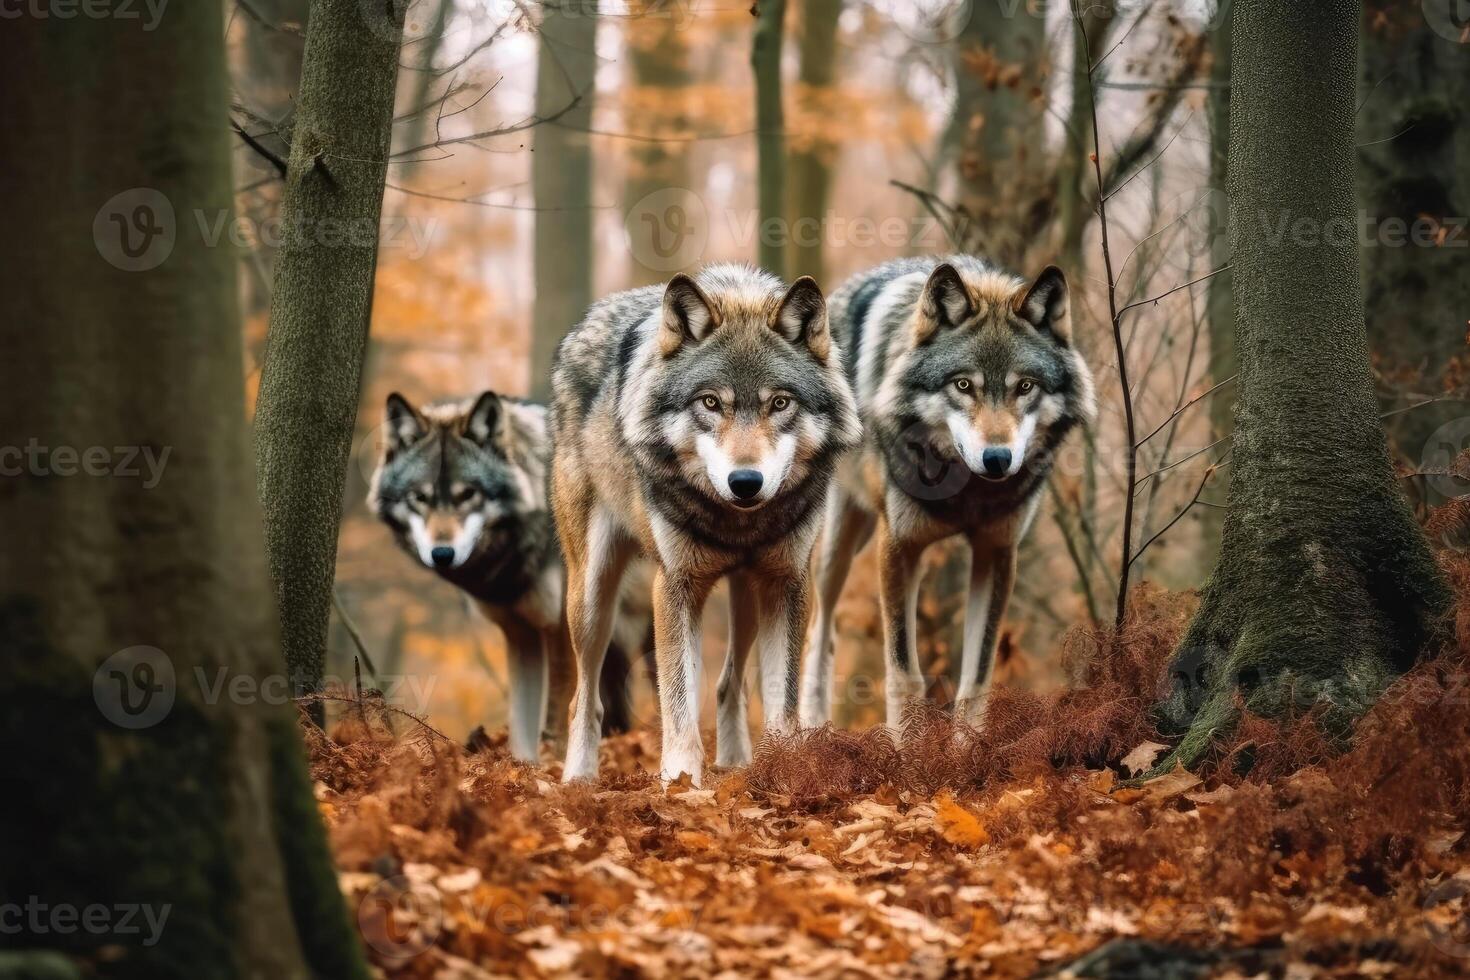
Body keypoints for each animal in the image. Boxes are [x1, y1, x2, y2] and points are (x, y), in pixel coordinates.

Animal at [367, 393, 649, 764]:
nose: (442, 553)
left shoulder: (561, 627)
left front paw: (553, 763)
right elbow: (521, 723)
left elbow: (558, 709)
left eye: (468, 494)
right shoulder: (519, 635)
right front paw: (525, 767)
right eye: (420, 497)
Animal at [549, 264, 858, 787]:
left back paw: (734, 762)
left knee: (727, 684)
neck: (738, 524)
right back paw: (578, 779)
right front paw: (680, 780)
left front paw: (782, 770)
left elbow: (782, 698)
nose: (746, 482)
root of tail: (582, 324)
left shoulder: (786, 582)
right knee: (583, 700)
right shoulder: (675, 586)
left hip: (746, 593)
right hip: (591, 600)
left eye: (780, 403)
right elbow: (677, 701)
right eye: (711, 403)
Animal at [799, 257, 1099, 731]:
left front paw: (968, 747)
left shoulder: (997, 552)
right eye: (963, 385)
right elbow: (903, 673)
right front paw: (907, 747)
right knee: (819, 631)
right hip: (838, 546)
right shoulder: (897, 546)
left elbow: (976, 677)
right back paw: (809, 729)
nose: (997, 458)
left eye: (1025, 387)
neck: (967, 494)